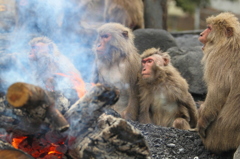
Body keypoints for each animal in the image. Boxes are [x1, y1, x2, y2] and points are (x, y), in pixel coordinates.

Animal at [198, 11, 240, 153]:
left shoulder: (217, 58)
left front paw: (201, 123)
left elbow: (218, 91)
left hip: (216, 138)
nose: (201, 34)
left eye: (209, 28)